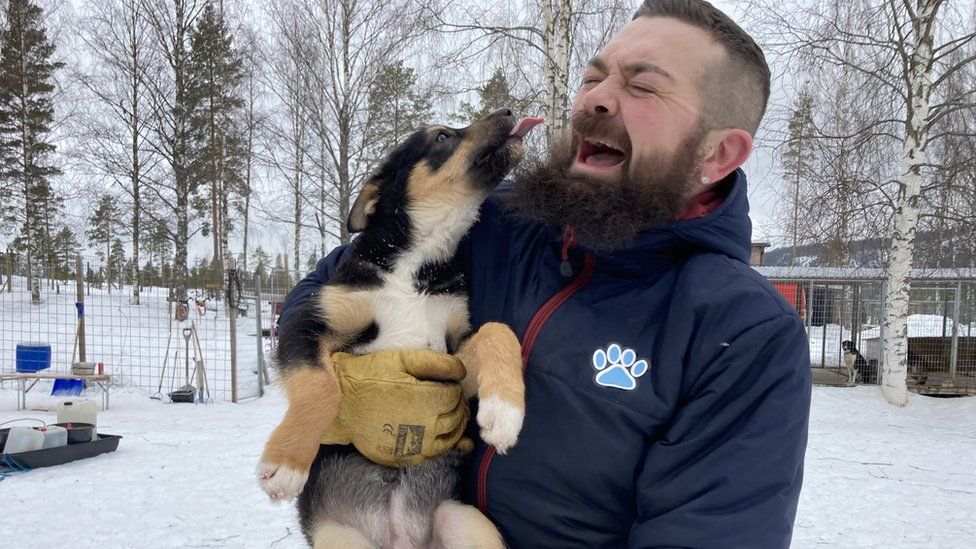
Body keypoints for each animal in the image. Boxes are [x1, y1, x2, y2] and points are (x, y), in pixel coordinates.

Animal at [260, 109, 544, 544]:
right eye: (442, 137)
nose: (509, 112)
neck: (416, 261)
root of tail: (399, 537)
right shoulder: (309, 324)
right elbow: (321, 386)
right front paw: (285, 462)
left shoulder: (453, 357)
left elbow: (499, 330)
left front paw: (504, 410)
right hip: (340, 537)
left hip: (464, 521)